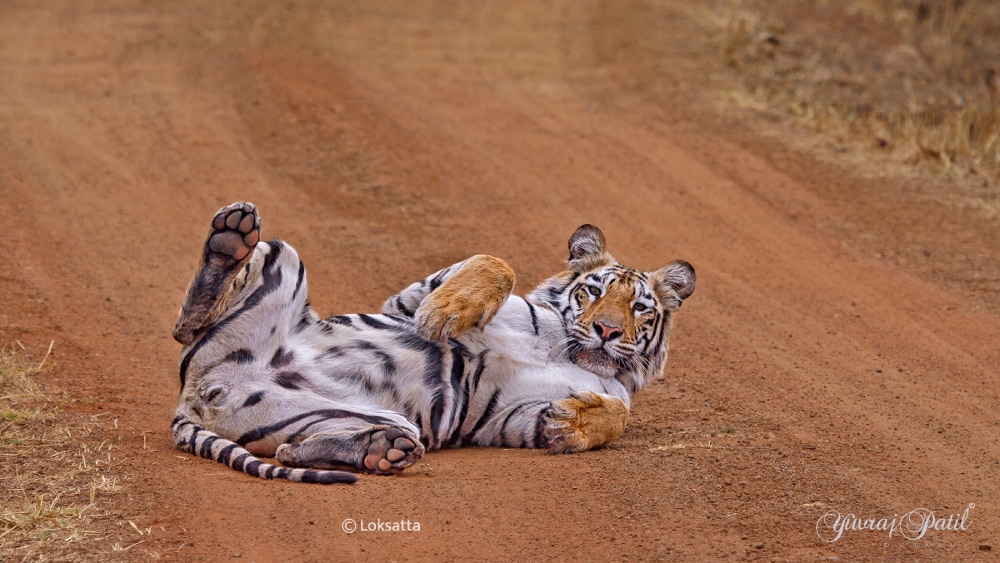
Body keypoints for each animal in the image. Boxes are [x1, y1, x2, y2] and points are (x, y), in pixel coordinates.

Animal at [170, 203, 696, 484]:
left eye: (639, 308)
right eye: (594, 291)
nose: (607, 330)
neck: (566, 347)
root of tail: (195, 395)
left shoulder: (512, 418)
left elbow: (618, 414)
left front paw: (569, 424)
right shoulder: (408, 298)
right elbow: (494, 263)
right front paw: (445, 313)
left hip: (360, 418)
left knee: (289, 452)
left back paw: (382, 451)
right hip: (283, 256)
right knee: (188, 323)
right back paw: (230, 236)